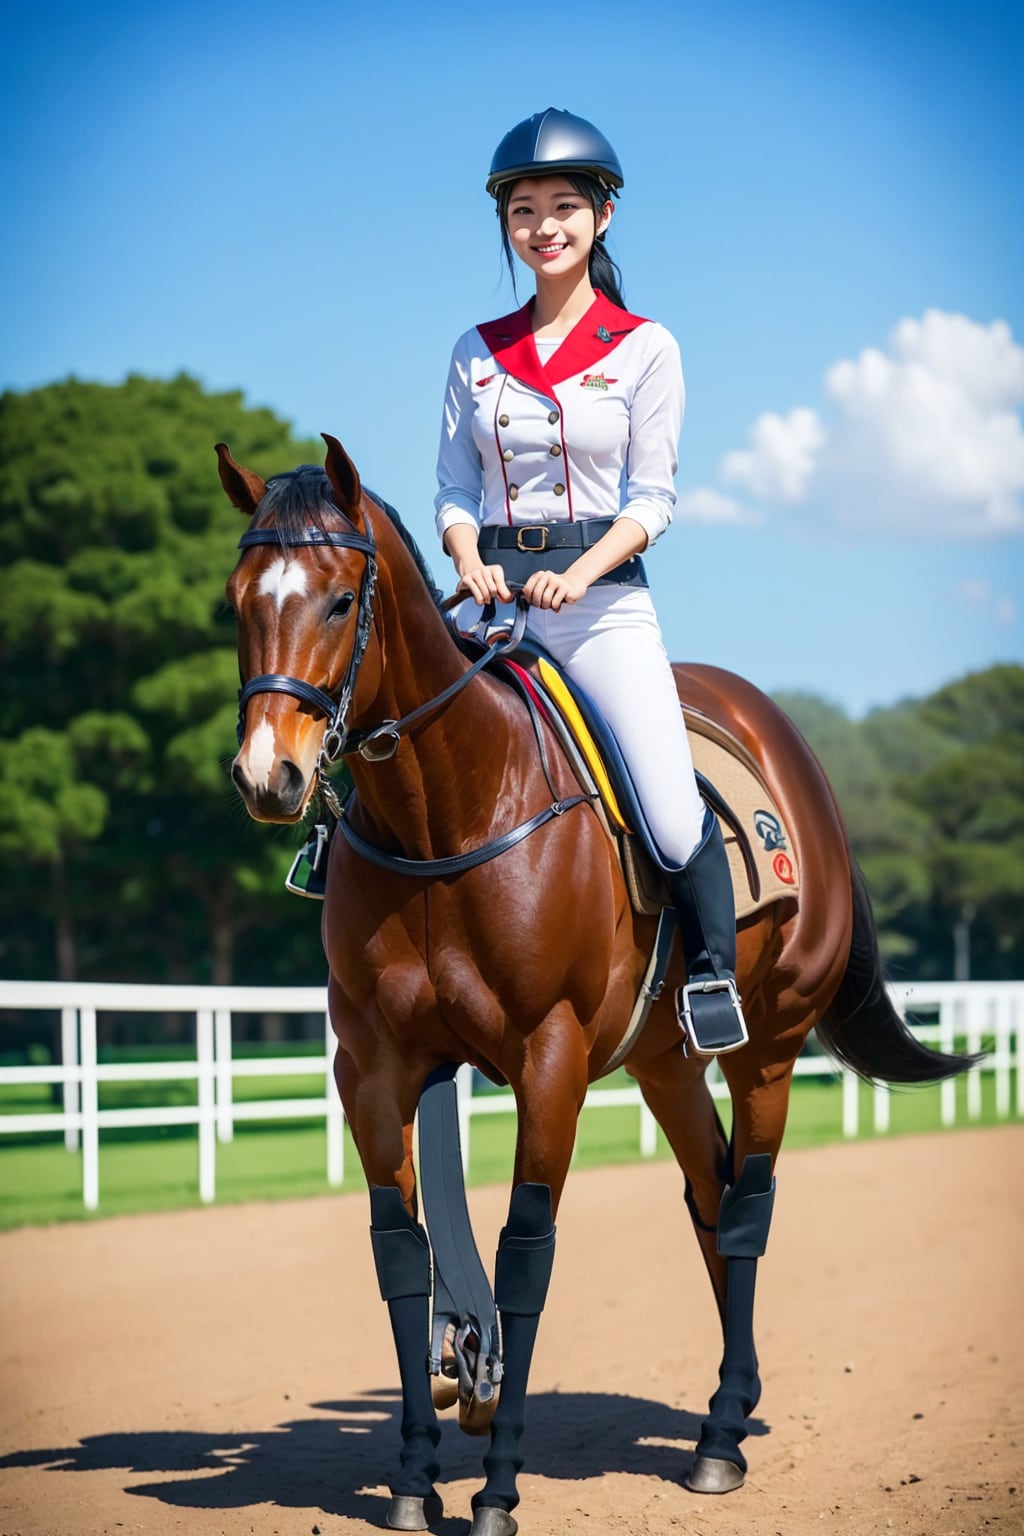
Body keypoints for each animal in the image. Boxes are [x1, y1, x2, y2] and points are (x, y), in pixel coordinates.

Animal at [218, 435, 970, 1536]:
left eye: (341, 600)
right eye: (236, 602)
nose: (267, 777)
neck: (451, 813)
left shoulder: (550, 1060)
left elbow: (524, 1254)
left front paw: (496, 1488)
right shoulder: (376, 1068)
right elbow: (403, 1255)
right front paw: (413, 1474)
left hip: (770, 1047)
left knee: (748, 1206)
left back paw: (717, 1439)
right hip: (664, 1061)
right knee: (709, 1196)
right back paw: (732, 1407)